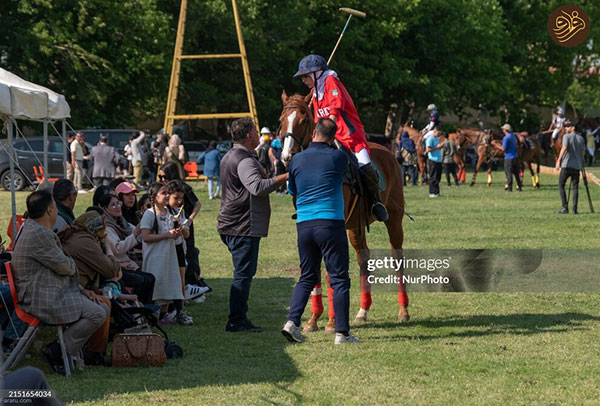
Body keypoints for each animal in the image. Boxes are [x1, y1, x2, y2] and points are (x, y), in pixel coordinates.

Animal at [278, 90, 410, 332]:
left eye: (304, 120)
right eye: (281, 120)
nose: (286, 156)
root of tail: (388, 151)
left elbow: (330, 273)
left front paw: (331, 322)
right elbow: (316, 272)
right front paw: (313, 319)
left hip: (394, 220)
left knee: (398, 259)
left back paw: (403, 311)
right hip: (355, 227)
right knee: (364, 259)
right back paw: (362, 311)